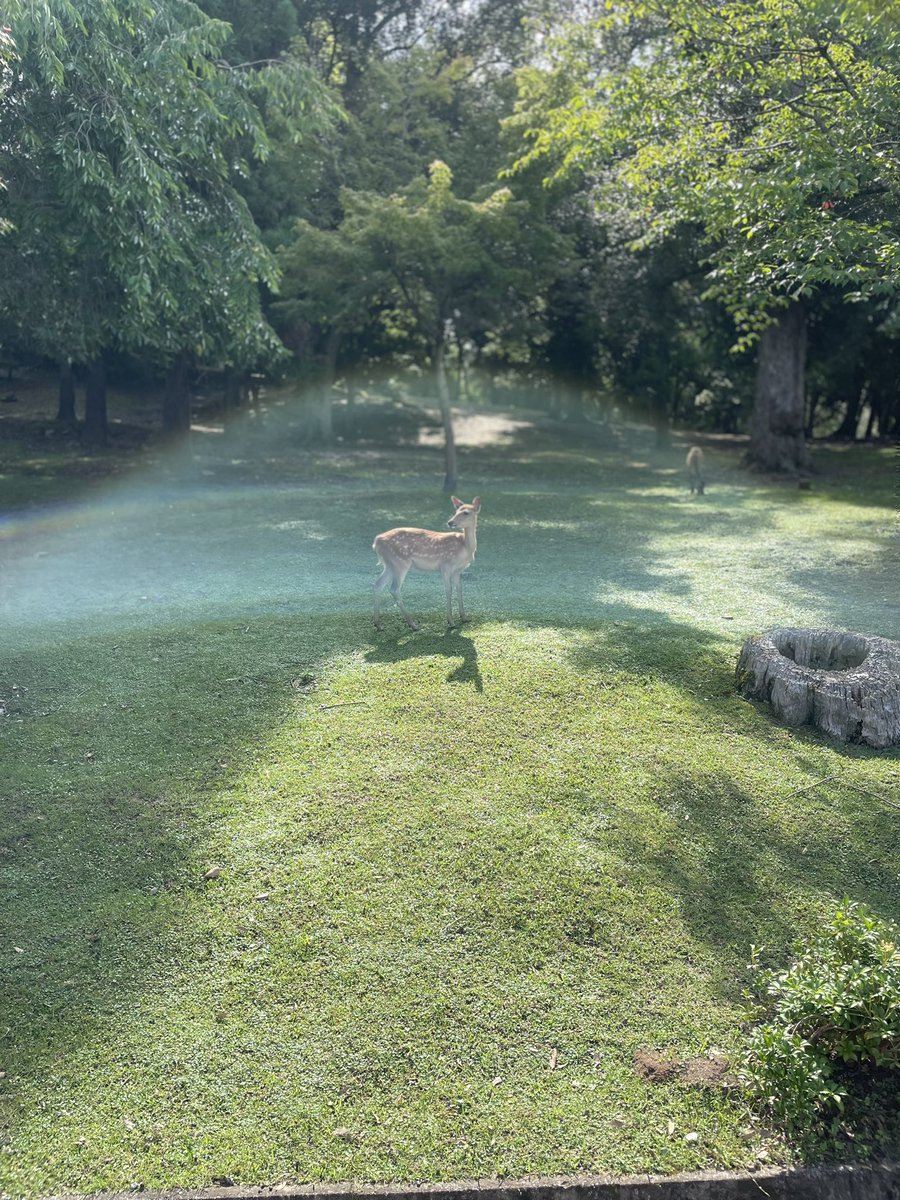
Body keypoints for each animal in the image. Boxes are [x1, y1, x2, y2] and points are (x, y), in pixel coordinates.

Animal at [373, 497, 481, 631]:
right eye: (456, 511)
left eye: (466, 512)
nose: (450, 522)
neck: (465, 548)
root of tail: (376, 542)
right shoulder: (445, 565)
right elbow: (448, 590)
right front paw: (450, 621)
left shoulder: (458, 570)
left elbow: (459, 589)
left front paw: (464, 618)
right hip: (400, 562)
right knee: (394, 589)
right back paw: (413, 624)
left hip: (389, 565)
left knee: (378, 584)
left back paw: (378, 624)